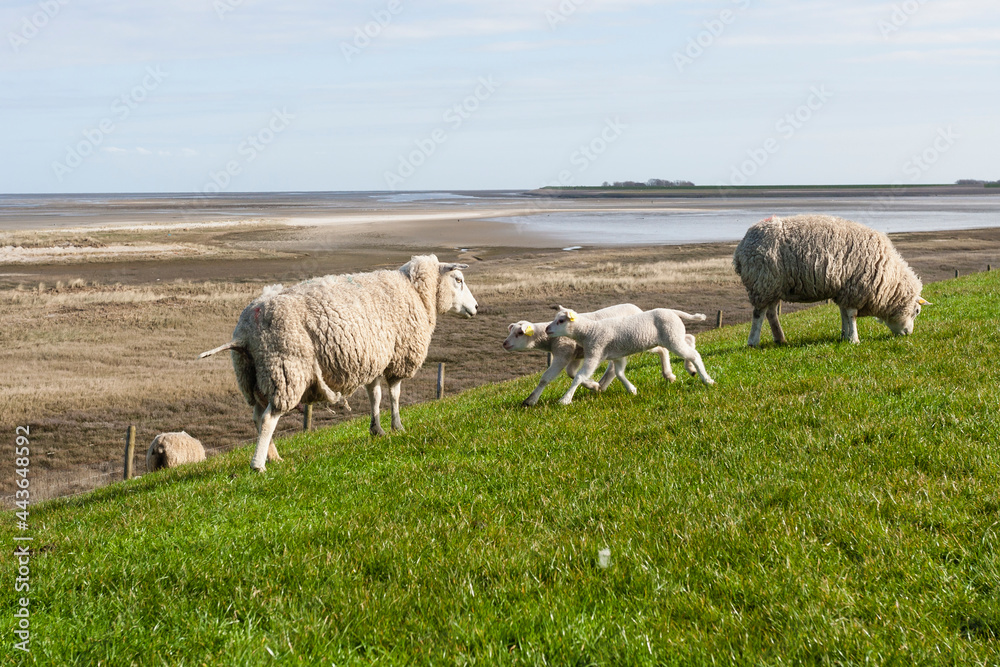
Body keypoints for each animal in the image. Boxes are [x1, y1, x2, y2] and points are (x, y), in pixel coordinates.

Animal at [199, 254, 478, 472]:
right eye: (458, 280)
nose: (476, 307)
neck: (416, 292)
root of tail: (245, 332)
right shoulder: (398, 356)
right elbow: (394, 394)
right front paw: (398, 426)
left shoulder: (374, 358)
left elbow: (375, 396)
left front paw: (377, 430)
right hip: (286, 368)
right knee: (268, 418)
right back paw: (259, 465)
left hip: (253, 376)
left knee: (257, 416)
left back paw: (274, 456)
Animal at [503, 303, 679, 406]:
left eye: (519, 333)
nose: (504, 344)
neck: (548, 340)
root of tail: (637, 308)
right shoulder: (574, 356)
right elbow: (572, 373)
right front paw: (592, 385)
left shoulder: (563, 354)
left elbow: (546, 378)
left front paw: (531, 400)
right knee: (614, 368)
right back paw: (603, 385)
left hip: (641, 341)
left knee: (662, 350)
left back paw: (668, 374)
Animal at [545, 307, 714, 404]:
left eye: (561, 320)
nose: (547, 329)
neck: (590, 331)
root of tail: (673, 312)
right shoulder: (617, 356)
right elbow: (619, 373)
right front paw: (632, 390)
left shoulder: (595, 352)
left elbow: (580, 376)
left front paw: (565, 399)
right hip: (667, 338)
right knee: (689, 341)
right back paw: (689, 369)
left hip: (672, 337)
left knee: (694, 354)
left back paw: (706, 379)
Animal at [732, 214, 930, 346]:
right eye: (917, 311)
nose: (908, 334)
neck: (887, 277)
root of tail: (741, 246)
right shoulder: (855, 287)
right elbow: (852, 315)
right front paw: (854, 339)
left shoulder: (844, 288)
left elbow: (843, 313)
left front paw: (844, 335)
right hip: (762, 281)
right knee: (759, 313)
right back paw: (753, 341)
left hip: (774, 285)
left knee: (771, 312)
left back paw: (780, 339)